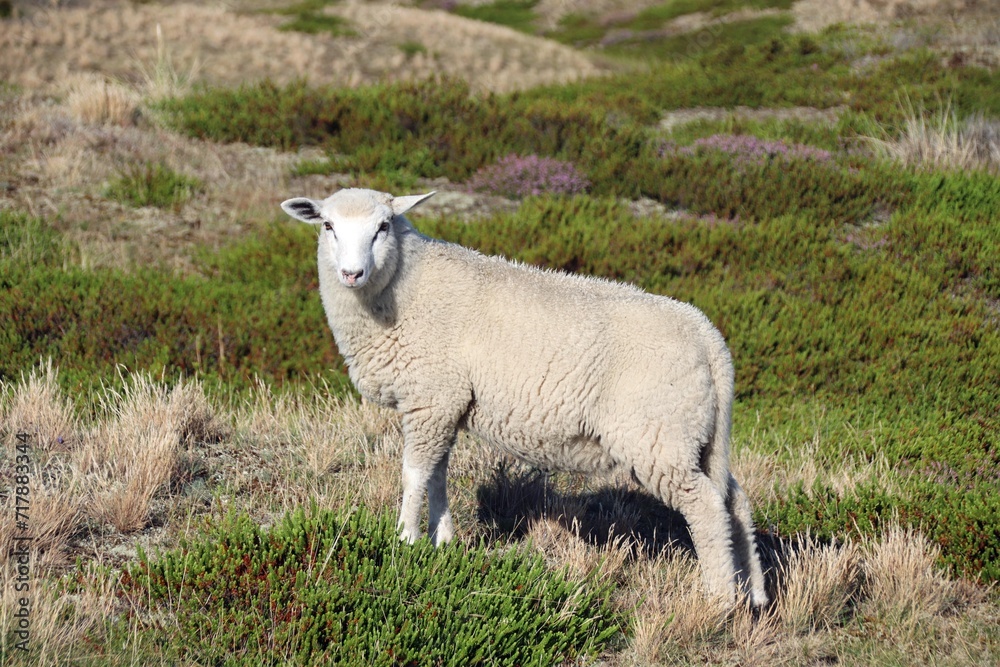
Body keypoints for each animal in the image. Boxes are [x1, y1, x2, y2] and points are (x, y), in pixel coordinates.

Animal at [280, 187, 768, 607]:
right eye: (327, 226)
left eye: (383, 226)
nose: (351, 273)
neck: (405, 287)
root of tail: (710, 339)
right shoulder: (446, 403)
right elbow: (438, 474)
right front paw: (443, 541)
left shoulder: (431, 395)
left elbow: (415, 474)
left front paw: (404, 541)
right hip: (696, 435)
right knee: (734, 500)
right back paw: (756, 595)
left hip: (659, 435)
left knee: (705, 506)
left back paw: (720, 600)